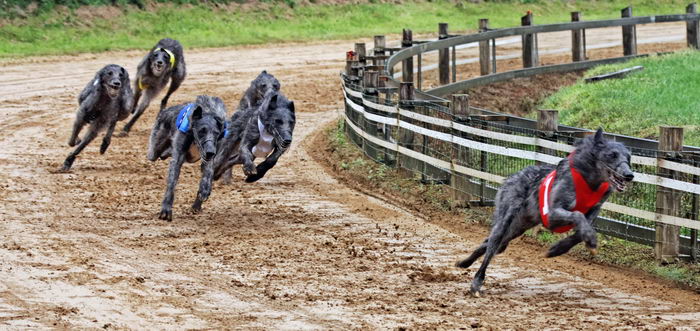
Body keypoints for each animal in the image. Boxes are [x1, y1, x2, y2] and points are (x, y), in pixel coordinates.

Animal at [148, 94, 230, 222]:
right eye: (202, 131)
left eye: (216, 133)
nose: (210, 152)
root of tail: (165, 111)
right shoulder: (178, 156)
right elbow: (172, 183)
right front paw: (166, 209)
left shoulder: (211, 154)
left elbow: (208, 171)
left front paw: (204, 190)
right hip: (154, 150)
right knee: (157, 154)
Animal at [454, 128, 636, 296]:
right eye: (612, 155)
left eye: (628, 157)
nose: (629, 175)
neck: (590, 182)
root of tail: (512, 176)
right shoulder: (552, 214)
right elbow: (578, 216)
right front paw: (589, 240)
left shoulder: (591, 214)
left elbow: (581, 231)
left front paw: (559, 248)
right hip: (505, 220)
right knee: (491, 248)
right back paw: (476, 282)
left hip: (516, 228)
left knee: (489, 244)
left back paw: (464, 262)